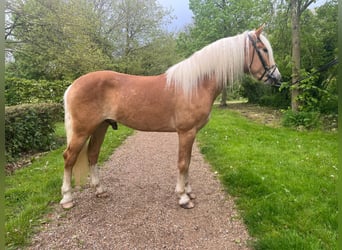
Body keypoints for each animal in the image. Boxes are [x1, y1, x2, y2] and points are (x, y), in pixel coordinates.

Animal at [60, 25, 280, 209]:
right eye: (264, 50)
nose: (277, 78)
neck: (196, 84)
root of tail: (73, 85)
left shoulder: (192, 133)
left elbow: (188, 161)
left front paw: (189, 192)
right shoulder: (186, 132)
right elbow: (183, 163)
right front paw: (183, 198)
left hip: (101, 127)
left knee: (92, 155)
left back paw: (100, 191)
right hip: (82, 131)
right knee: (69, 158)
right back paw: (67, 198)